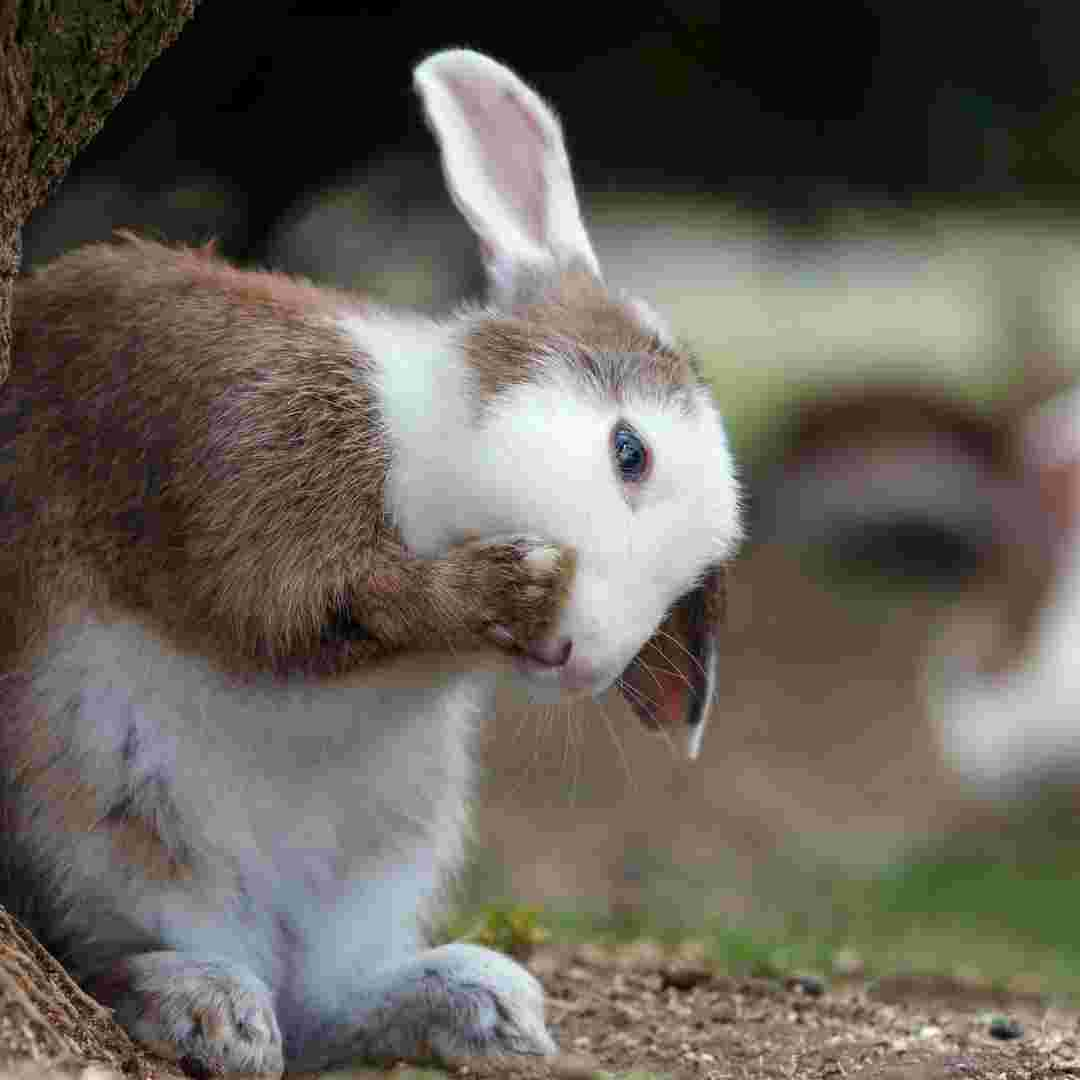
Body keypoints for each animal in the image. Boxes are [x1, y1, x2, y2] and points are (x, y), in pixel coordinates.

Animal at [0, 48, 743, 1080]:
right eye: (628, 452)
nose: (582, 661)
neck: (429, 445)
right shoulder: (259, 484)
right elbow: (309, 604)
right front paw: (503, 583)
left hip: (383, 857)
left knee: (323, 1004)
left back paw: (482, 1005)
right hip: (106, 812)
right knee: (130, 954)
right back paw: (211, 1010)